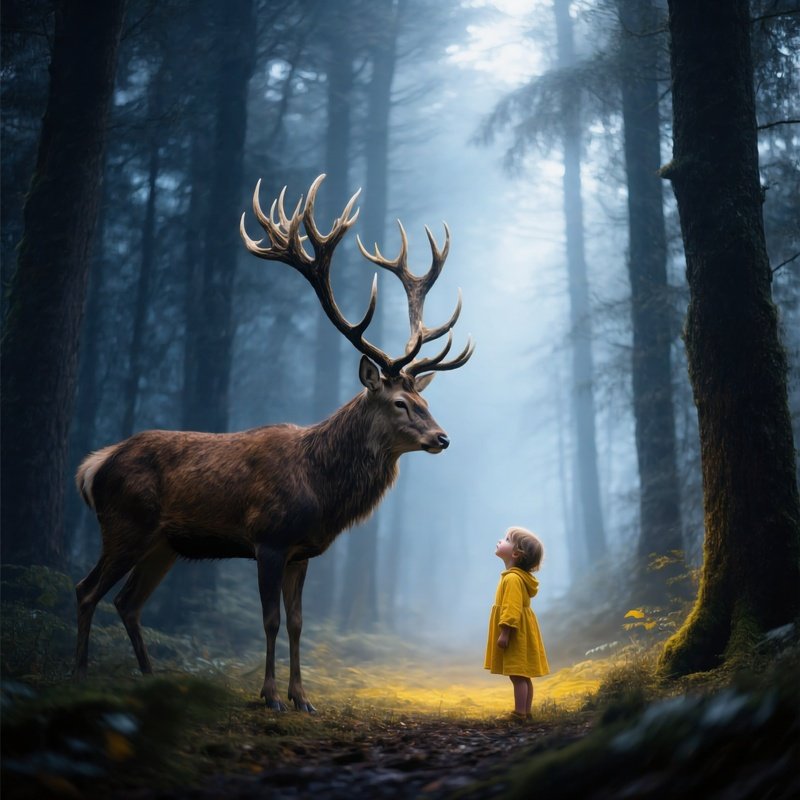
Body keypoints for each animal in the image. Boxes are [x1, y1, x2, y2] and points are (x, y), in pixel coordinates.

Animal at [74, 174, 473, 711]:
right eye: (399, 403)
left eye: (423, 398)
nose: (442, 437)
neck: (321, 489)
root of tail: (94, 465)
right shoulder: (267, 539)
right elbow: (270, 621)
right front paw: (269, 696)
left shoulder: (302, 552)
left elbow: (300, 624)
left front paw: (303, 698)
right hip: (124, 524)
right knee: (86, 590)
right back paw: (78, 674)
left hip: (163, 544)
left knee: (127, 602)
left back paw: (149, 680)